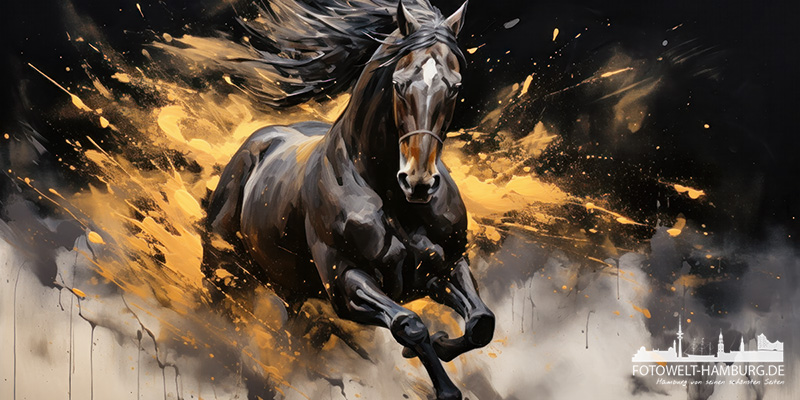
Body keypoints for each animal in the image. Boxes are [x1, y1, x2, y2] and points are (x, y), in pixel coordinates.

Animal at [202, 1, 493, 398]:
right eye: (399, 84)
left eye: (455, 86)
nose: (418, 183)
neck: (393, 201)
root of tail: (254, 146)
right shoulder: (345, 283)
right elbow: (409, 324)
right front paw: (443, 383)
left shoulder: (446, 266)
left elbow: (481, 324)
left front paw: (443, 344)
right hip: (224, 275)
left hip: (298, 297)